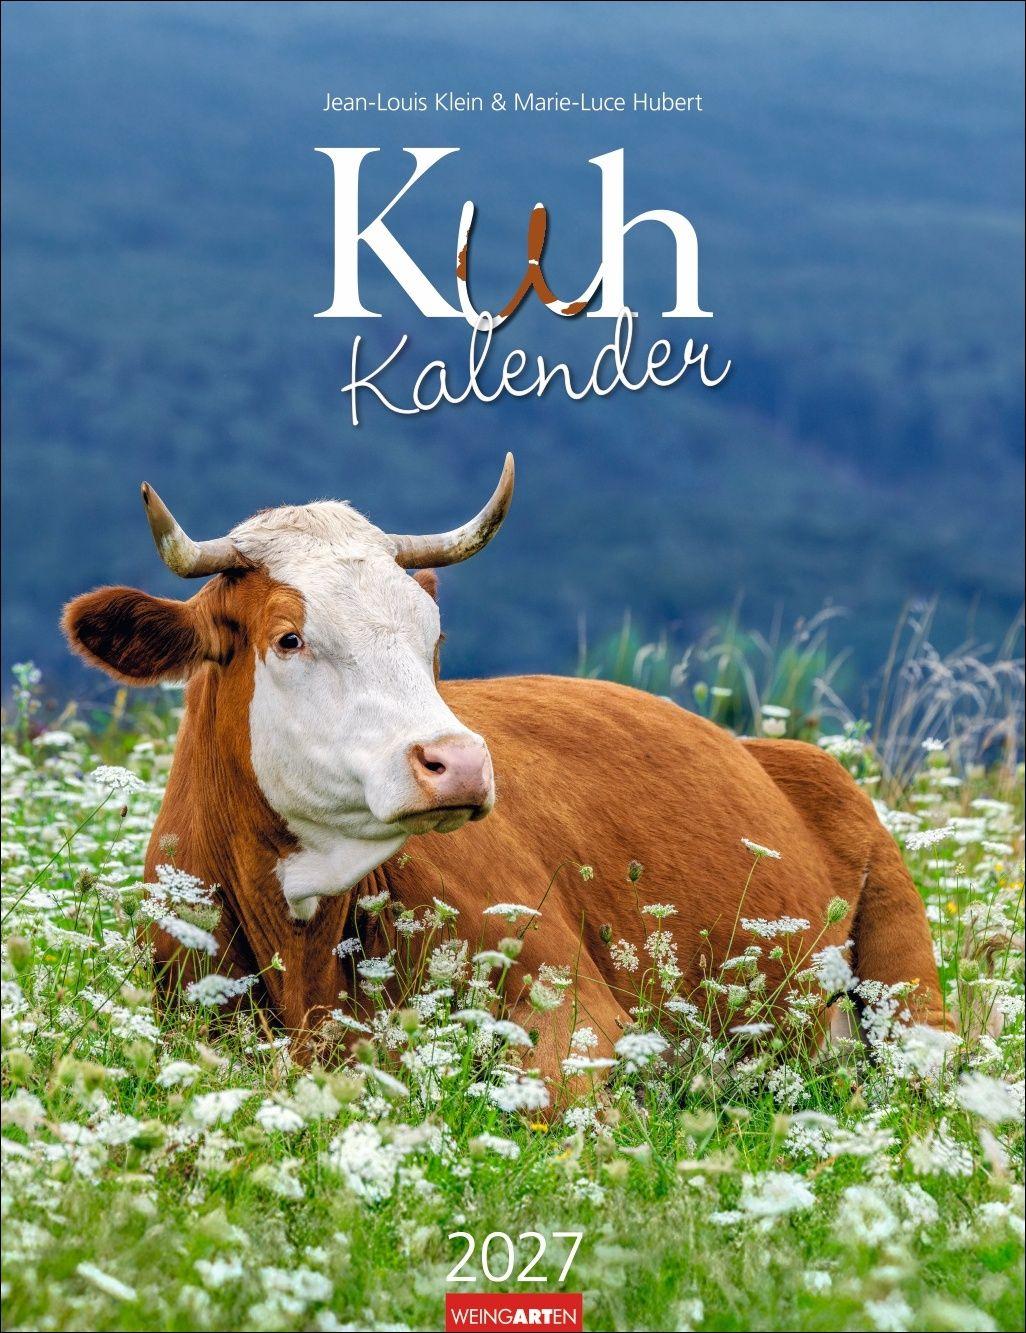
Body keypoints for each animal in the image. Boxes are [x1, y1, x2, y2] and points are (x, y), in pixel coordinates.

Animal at [62, 455, 946, 1083]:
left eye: (434, 636)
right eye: (289, 636)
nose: (458, 763)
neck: (301, 937)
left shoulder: (579, 1011)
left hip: (911, 993)